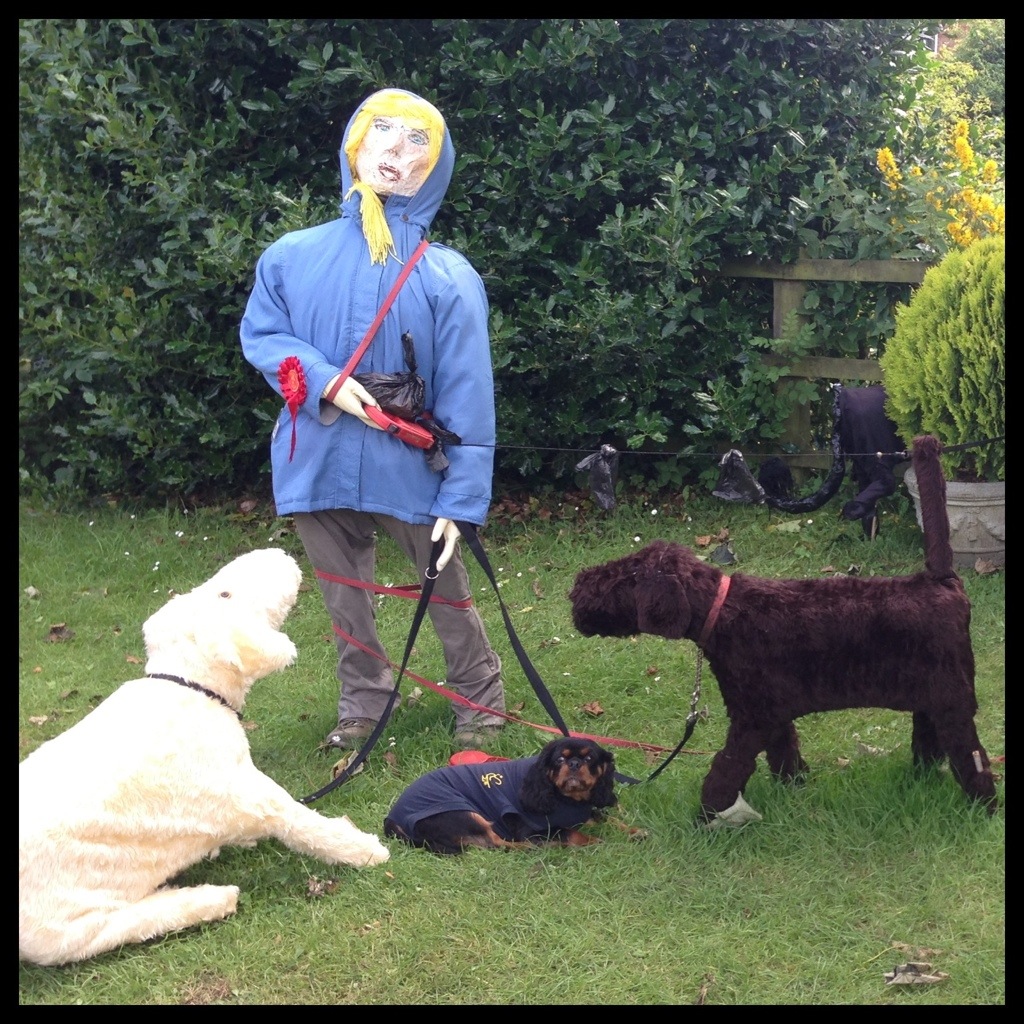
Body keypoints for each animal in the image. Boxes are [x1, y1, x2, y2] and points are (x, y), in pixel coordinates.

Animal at [19, 548, 390, 967]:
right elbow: (304, 824)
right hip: (66, 929)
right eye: (225, 594)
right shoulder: (249, 793)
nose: (278, 553)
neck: (193, 686)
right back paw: (214, 898)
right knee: (126, 924)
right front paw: (368, 851)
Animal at [383, 737, 620, 855]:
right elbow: (571, 833)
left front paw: (629, 832)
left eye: (589, 758)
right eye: (560, 760)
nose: (574, 764)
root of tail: (392, 819)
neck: (567, 797)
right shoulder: (532, 829)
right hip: (465, 814)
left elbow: (608, 819)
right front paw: (597, 841)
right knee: (497, 843)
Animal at [569, 435, 998, 825]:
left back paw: (984, 808)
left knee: (972, 757)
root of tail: (942, 579)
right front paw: (794, 788)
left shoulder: (752, 718)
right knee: (931, 739)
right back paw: (921, 780)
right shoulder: (772, 712)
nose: (577, 587)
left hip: (952, 699)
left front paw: (705, 817)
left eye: (627, 577)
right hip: (929, 695)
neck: (719, 610)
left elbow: (725, 771)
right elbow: (784, 752)